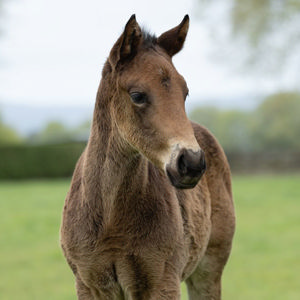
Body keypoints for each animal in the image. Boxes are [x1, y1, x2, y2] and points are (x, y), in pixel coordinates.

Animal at [60, 15, 234, 298]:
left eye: (185, 93)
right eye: (137, 96)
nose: (192, 162)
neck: (111, 220)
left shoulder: (162, 281)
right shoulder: (88, 283)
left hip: (209, 269)